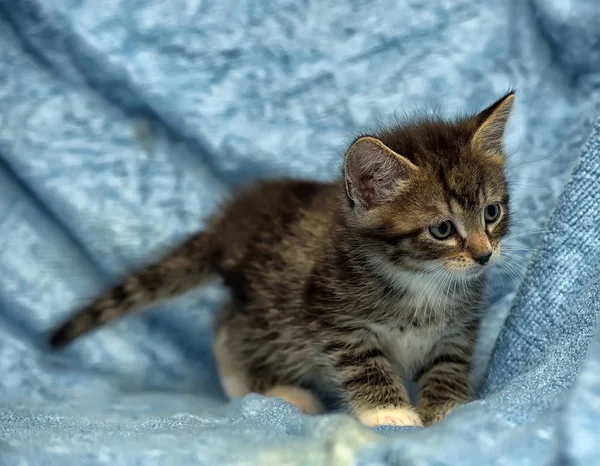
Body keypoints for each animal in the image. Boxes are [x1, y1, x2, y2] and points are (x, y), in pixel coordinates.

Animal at [49, 93, 512, 428]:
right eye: (442, 230)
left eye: (491, 213)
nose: (484, 255)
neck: (419, 280)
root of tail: (231, 221)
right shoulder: (334, 317)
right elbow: (364, 366)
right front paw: (390, 413)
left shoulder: (458, 325)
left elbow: (449, 363)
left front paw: (448, 409)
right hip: (269, 310)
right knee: (226, 329)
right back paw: (268, 391)